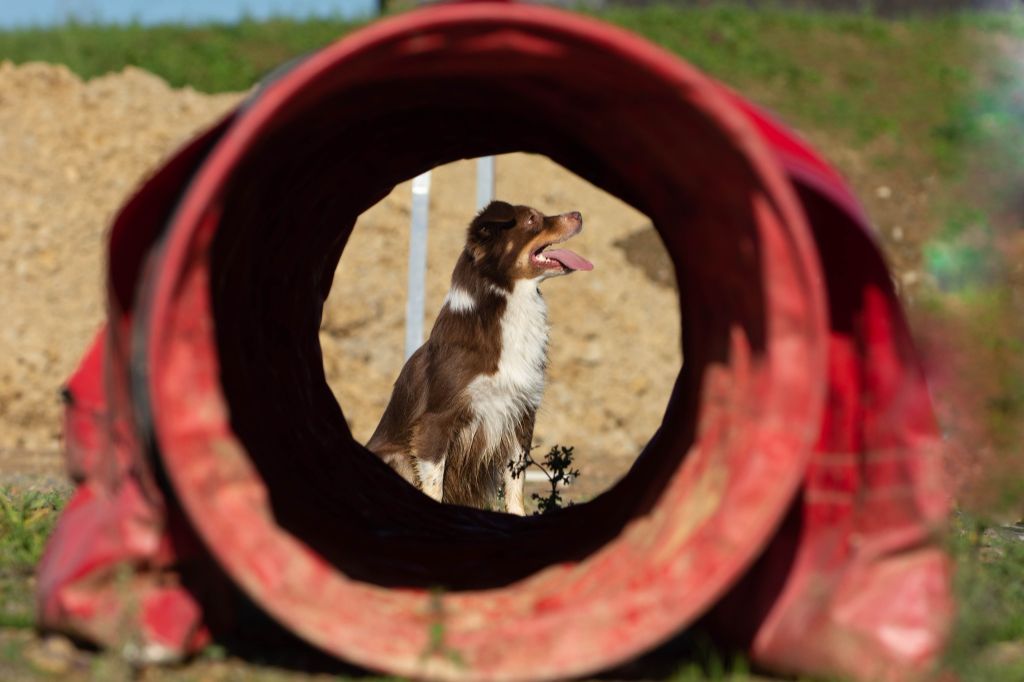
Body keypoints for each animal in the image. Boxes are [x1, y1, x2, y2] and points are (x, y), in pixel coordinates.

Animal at [366, 199, 593, 512]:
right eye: (532, 219)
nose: (579, 214)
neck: (507, 307)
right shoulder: (436, 422)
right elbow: (434, 485)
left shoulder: (519, 415)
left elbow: (515, 485)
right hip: (395, 456)